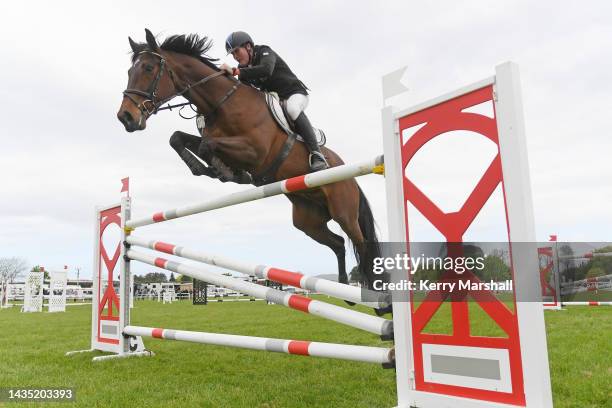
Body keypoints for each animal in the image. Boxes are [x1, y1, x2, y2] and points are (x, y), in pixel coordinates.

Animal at [115, 29, 388, 316]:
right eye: (130, 70)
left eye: (148, 68)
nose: (126, 117)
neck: (222, 103)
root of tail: (348, 174)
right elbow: (178, 138)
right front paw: (208, 169)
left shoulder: (254, 151)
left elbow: (207, 144)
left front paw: (227, 172)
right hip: (308, 219)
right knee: (337, 243)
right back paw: (346, 290)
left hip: (343, 210)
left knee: (360, 243)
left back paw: (379, 302)